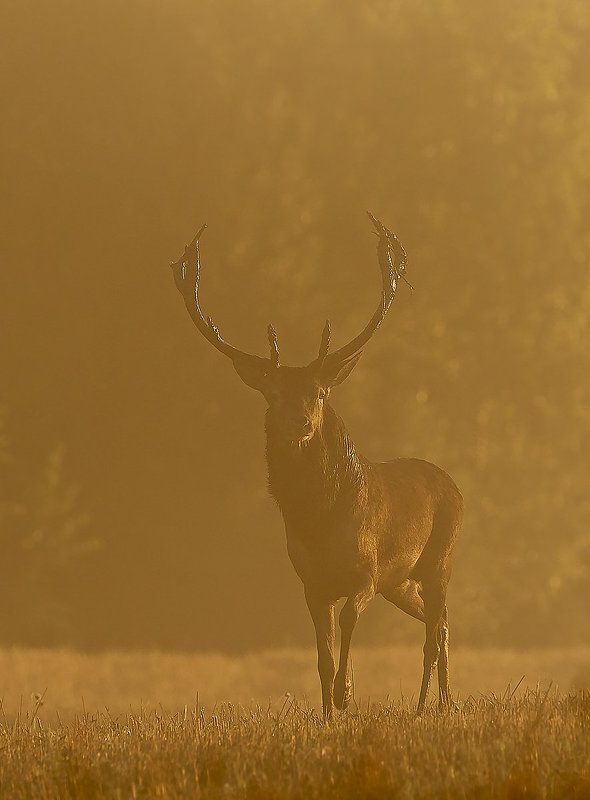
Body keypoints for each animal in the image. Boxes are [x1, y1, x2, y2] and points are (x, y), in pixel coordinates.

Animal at [171, 213, 463, 720]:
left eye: (319, 393)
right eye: (273, 394)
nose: (299, 423)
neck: (319, 522)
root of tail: (455, 487)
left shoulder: (366, 572)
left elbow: (346, 624)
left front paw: (347, 694)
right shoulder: (310, 581)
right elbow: (321, 656)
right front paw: (328, 712)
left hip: (439, 558)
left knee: (435, 628)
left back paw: (431, 704)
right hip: (400, 582)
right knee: (437, 623)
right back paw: (440, 702)